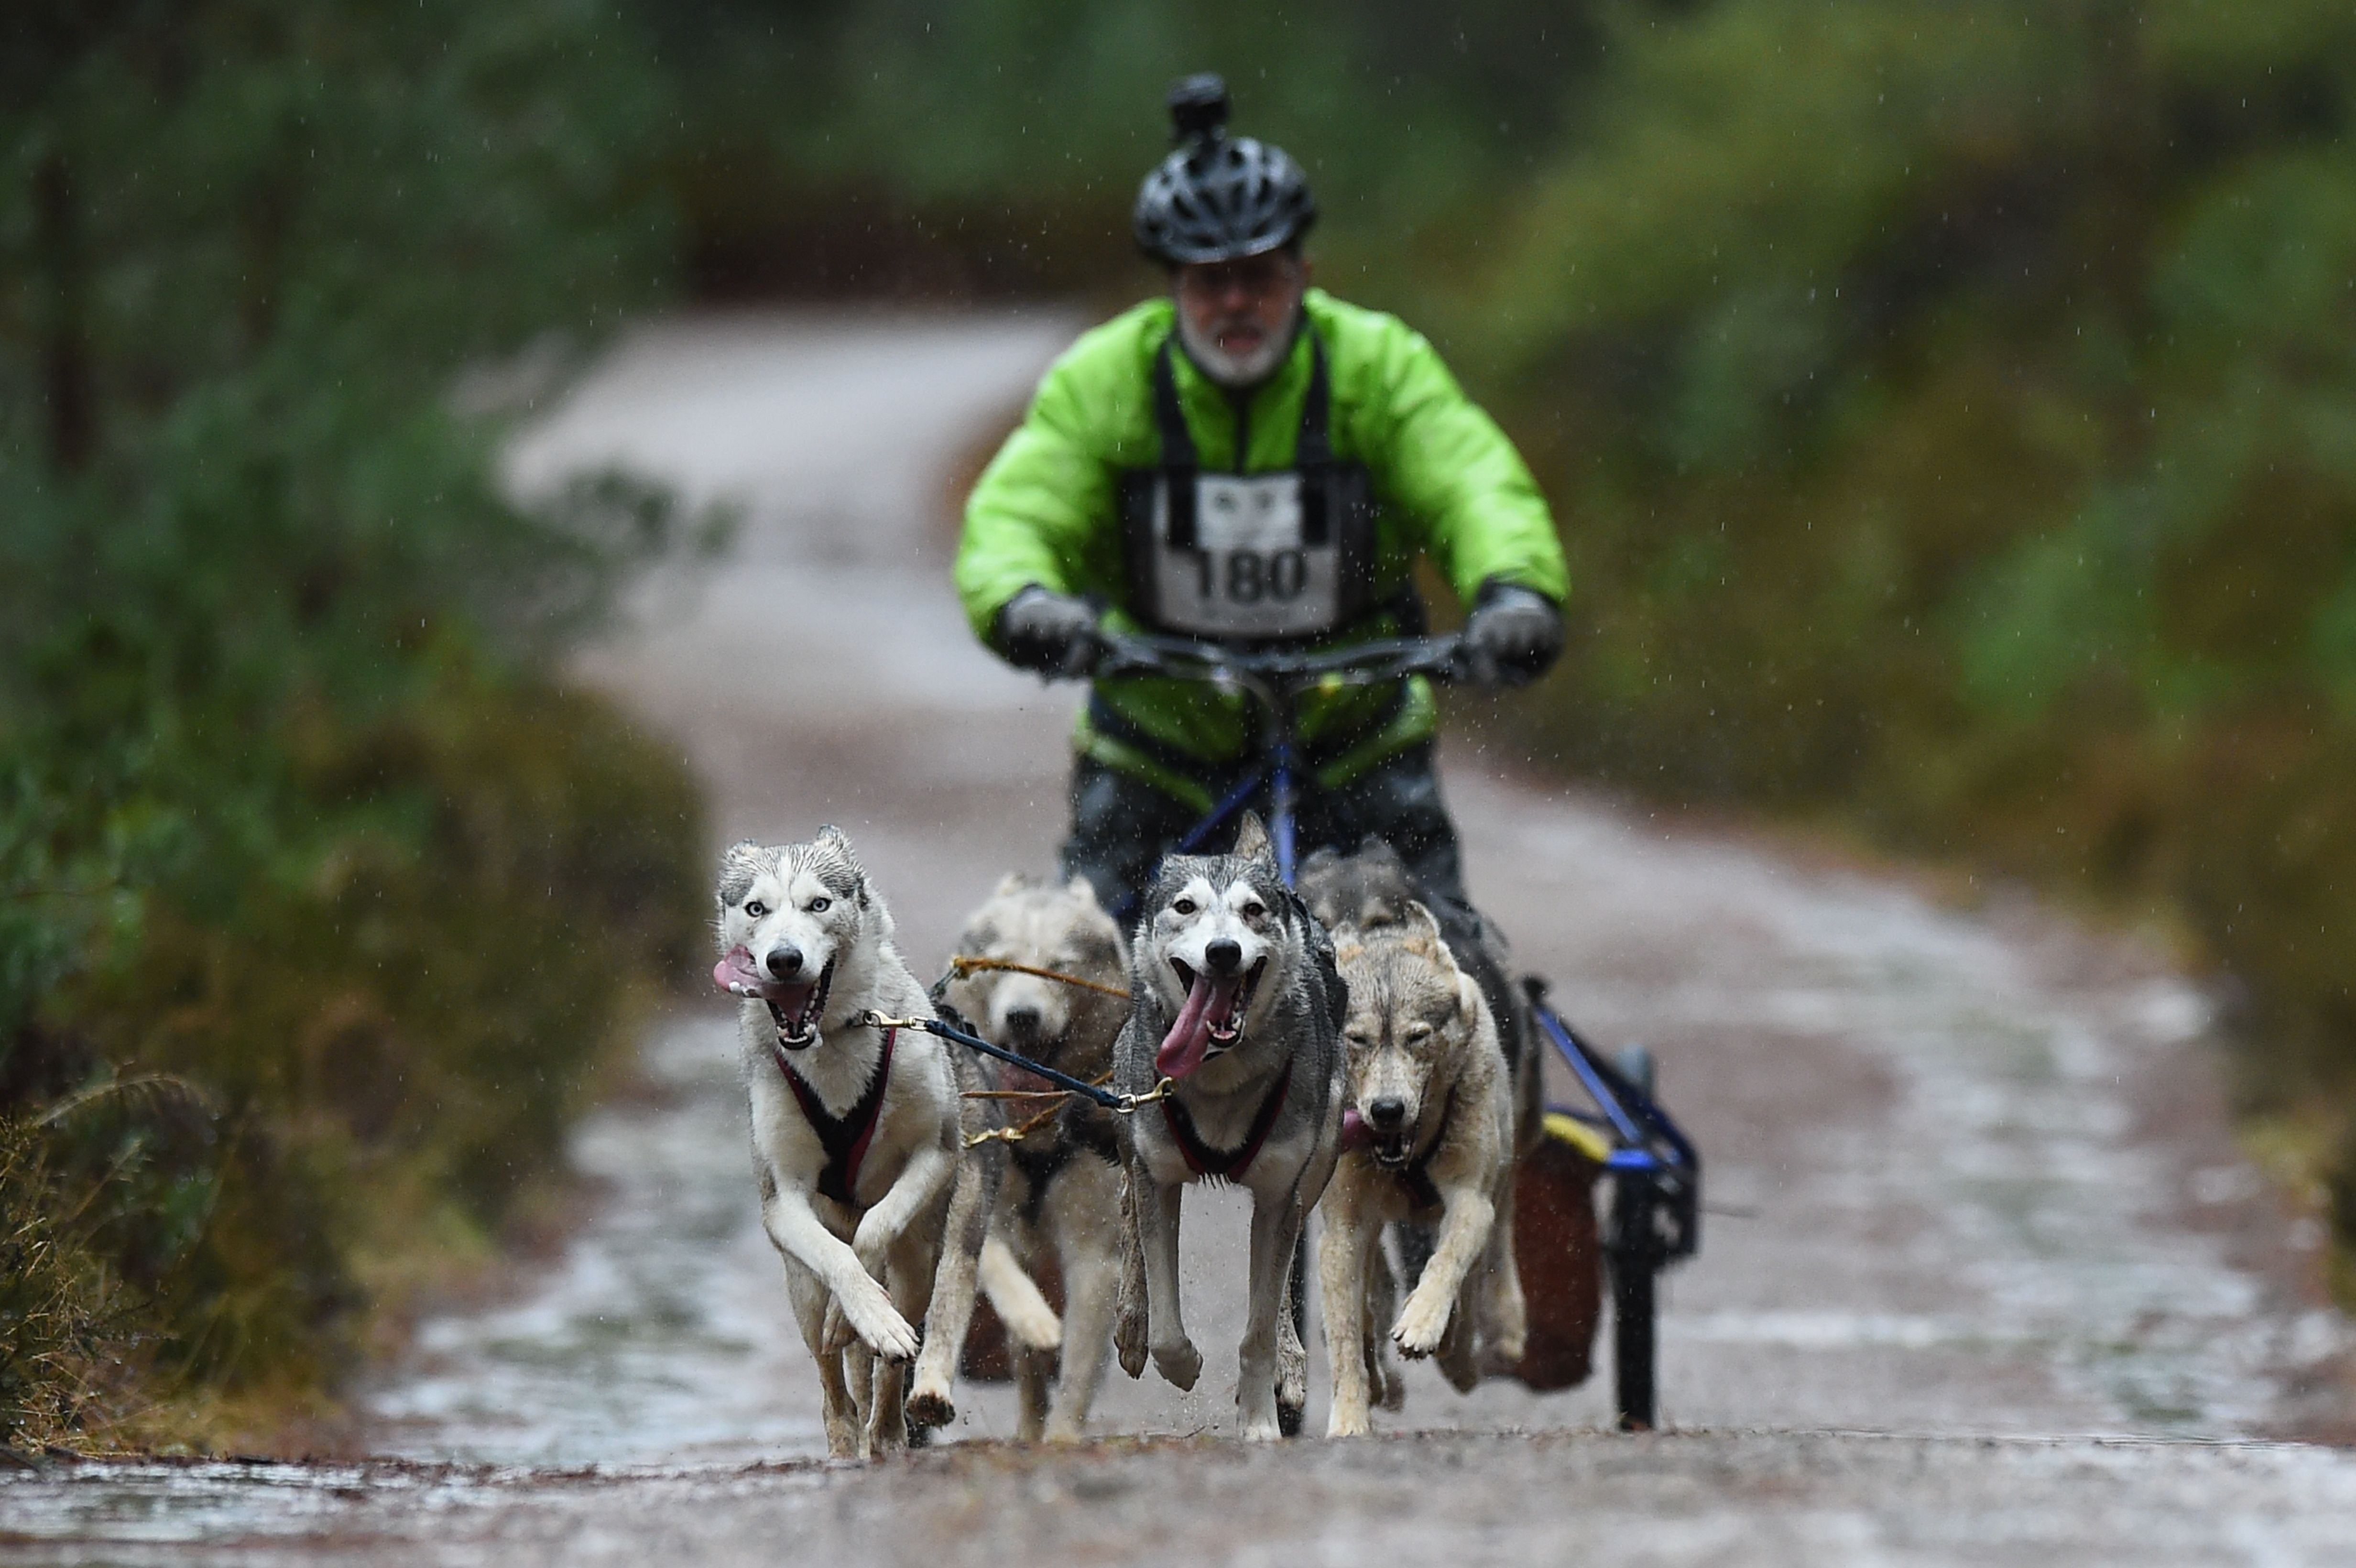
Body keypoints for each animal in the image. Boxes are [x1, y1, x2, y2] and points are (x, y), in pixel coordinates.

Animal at [707, 828, 984, 1450]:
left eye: (819, 904)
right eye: (756, 908)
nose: (784, 959)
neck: (831, 1039)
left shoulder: (934, 1151)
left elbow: (874, 1229)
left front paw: (865, 1316)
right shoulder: (782, 1200)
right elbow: (839, 1257)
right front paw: (857, 1311)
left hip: (919, 1263)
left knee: (889, 1367)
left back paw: (887, 1429)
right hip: (800, 1290)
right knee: (833, 1385)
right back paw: (843, 1436)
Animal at [933, 871, 1126, 1431]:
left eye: (1059, 966)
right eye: (999, 964)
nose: (1022, 1016)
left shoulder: (1096, 1255)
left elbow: (1077, 1377)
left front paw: (1062, 1437)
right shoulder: (984, 1198)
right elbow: (992, 1261)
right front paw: (1033, 1317)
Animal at [1107, 810, 1347, 1431]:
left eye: (1253, 910)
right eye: (1185, 906)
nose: (1222, 951)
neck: (1217, 1075)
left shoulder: (1280, 1191)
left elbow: (1258, 1331)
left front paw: (1259, 1422)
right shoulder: (1158, 1174)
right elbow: (1166, 1320)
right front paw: (1178, 1360)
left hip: (1321, 1155)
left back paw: (1290, 1362)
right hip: (1127, 1127)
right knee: (1127, 1214)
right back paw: (1130, 1321)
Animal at [1319, 899, 1517, 1431]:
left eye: (1417, 1037)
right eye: (1357, 1039)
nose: (1386, 1110)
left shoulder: (1471, 1198)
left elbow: (1447, 1261)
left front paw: (1425, 1322)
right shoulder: (1344, 1226)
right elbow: (1345, 1335)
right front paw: (1349, 1417)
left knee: (1472, 1282)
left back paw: (1456, 1348)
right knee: (1371, 1296)